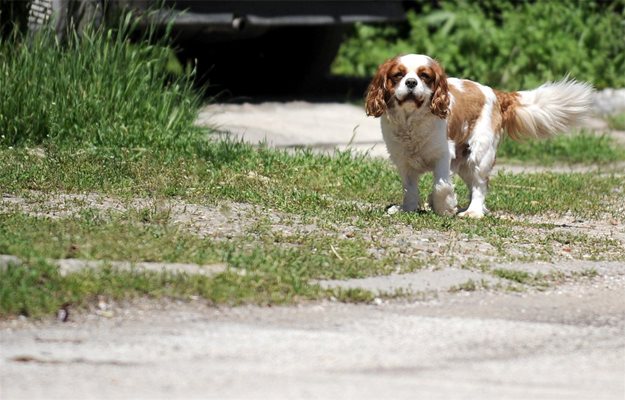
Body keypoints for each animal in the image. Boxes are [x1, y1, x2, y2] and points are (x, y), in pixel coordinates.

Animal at [364, 53, 592, 217]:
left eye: (424, 76)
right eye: (398, 75)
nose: (411, 82)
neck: (411, 120)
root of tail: (496, 93)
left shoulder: (443, 156)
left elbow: (441, 185)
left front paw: (445, 207)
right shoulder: (403, 161)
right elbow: (409, 189)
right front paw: (407, 209)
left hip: (480, 155)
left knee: (481, 185)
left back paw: (473, 212)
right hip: (465, 162)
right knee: (474, 185)